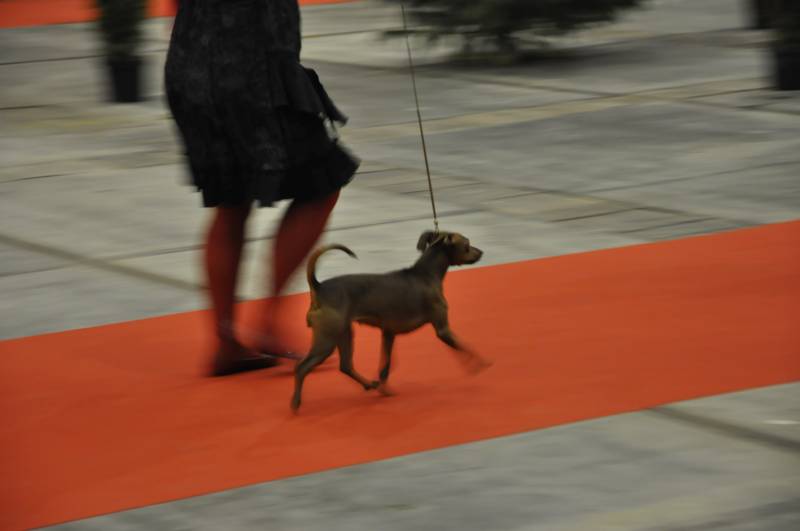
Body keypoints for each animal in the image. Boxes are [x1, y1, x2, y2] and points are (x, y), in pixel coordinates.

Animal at [290, 230, 492, 411]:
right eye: (467, 245)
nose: (481, 252)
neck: (425, 275)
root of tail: (319, 288)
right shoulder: (443, 330)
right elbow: (465, 346)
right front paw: (480, 363)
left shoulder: (388, 334)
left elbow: (385, 367)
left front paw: (384, 389)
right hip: (326, 342)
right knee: (302, 368)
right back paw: (296, 402)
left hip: (344, 334)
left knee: (345, 366)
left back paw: (370, 385)